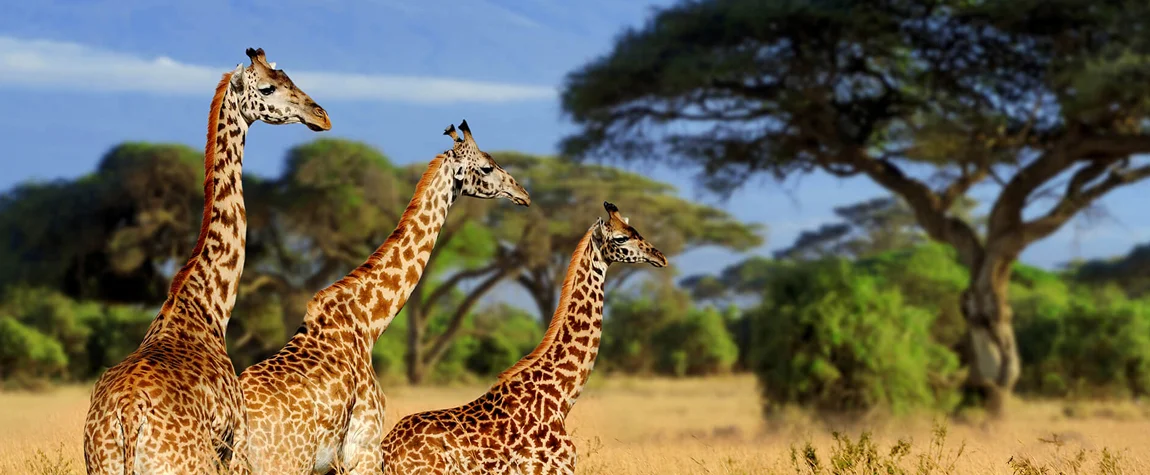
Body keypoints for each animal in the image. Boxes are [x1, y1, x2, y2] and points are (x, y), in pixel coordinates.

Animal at [83, 47, 331, 475]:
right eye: (269, 87)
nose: (322, 116)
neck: (208, 306)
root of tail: (129, 415)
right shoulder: (238, 442)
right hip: (189, 464)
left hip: (99, 463)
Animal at [379, 201, 668, 475]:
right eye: (620, 238)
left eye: (635, 230)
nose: (660, 257)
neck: (560, 397)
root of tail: (385, 452)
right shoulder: (551, 469)